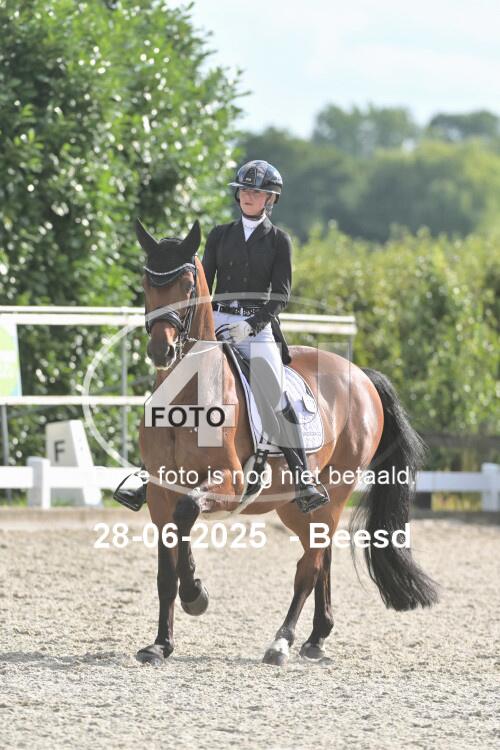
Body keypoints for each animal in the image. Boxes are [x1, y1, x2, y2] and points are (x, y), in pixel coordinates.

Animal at [135, 218, 438, 666]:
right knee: (320, 554)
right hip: (294, 506)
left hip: (333, 491)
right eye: (147, 282)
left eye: (188, 285)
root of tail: (360, 374)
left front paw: (196, 595)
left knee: (309, 566)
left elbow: (188, 511)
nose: (162, 349)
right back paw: (316, 638)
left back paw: (282, 642)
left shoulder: (229, 482)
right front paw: (160, 644)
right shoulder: (159, 492)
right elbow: (165, 567)